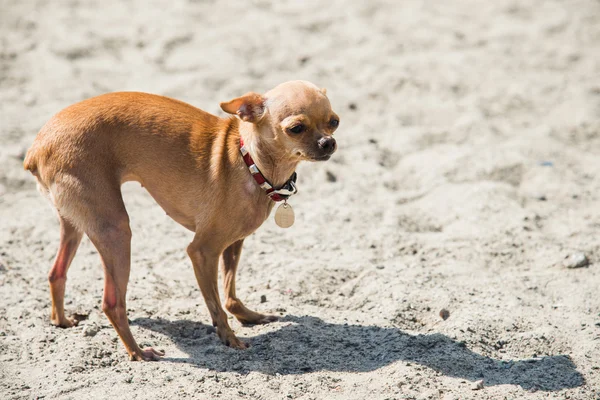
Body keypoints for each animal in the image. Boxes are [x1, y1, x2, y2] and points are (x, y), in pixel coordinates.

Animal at [23, 79, 340, 360]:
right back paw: (138, 352)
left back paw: (62, 320)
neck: (249, 159)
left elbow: (229, 292)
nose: (329, 143)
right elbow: (216, 303)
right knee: (112, 303)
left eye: (334, 122)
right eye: (296, 129)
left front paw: (248, 316)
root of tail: (37, 148)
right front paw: (229, 338)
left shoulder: (233, 243)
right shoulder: (202, 251)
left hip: (75, 224)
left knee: (56, 273)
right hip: (115, 231)